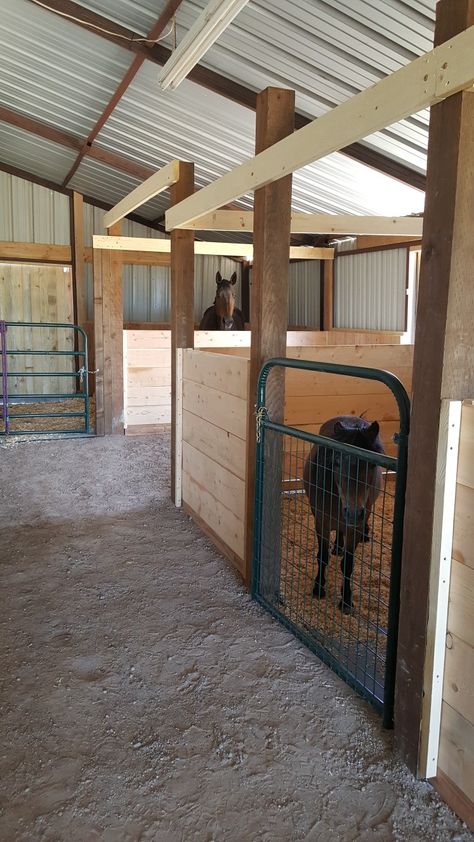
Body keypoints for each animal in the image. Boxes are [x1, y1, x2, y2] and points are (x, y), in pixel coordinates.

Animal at [304, 416, 386, 612]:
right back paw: (337, 547)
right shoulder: (321, 522)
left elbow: (347, 564)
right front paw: (318, 588)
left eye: (372, 464)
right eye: (337, 462)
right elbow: (322, 557)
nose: (354, 513)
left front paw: (346, 600)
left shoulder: (353, 528)